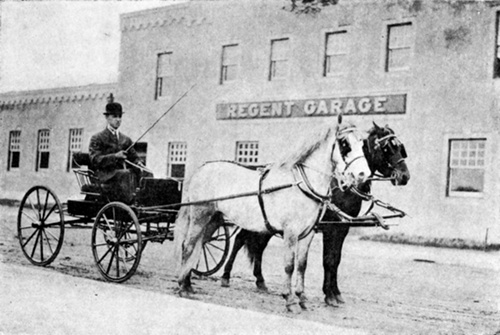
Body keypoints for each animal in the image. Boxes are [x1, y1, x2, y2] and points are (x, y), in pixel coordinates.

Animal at [176, 117, 372, 314]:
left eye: (362, 144)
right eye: (344, 143)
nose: (363, 174)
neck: (301, 184)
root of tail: (202, 169)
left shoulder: (308, 234)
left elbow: (302, 265)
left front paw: (302, 299)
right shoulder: (291, 232)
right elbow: (289, 265)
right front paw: (290, 300)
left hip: (214, 219)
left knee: (199, 245)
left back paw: (188, 284)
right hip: (200, 216)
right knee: (188, 246)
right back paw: (183, 287)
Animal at [221, 123, 408, 308]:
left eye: (400, 148)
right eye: (387, 147)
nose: (405, 176)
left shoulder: (342, 228)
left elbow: (336, 259)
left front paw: (335, 293)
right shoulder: (330, 229)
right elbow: (329, 260)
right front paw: (329, 295)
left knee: (258, 246)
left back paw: (260, 281)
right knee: (239, 240)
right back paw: (226, 276)